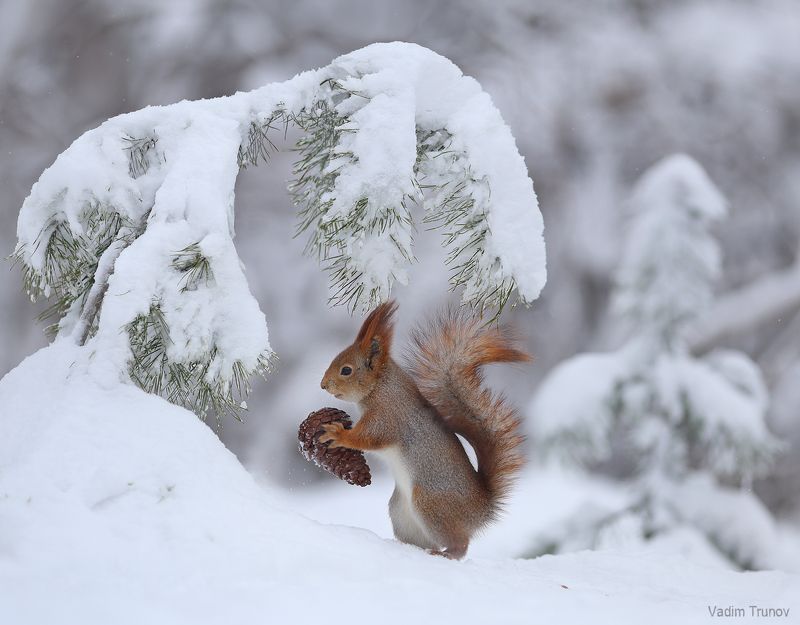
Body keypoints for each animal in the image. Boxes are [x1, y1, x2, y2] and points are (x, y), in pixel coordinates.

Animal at [319, 300, 529, 560]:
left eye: (346, 370)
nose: (323, 385)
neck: (381, 387)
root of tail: (481, 510)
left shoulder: (389, 416)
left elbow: (370, 437)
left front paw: (338, 434)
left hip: (430, 503)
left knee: (460, 545)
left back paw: (446, 554)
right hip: (401, 511)